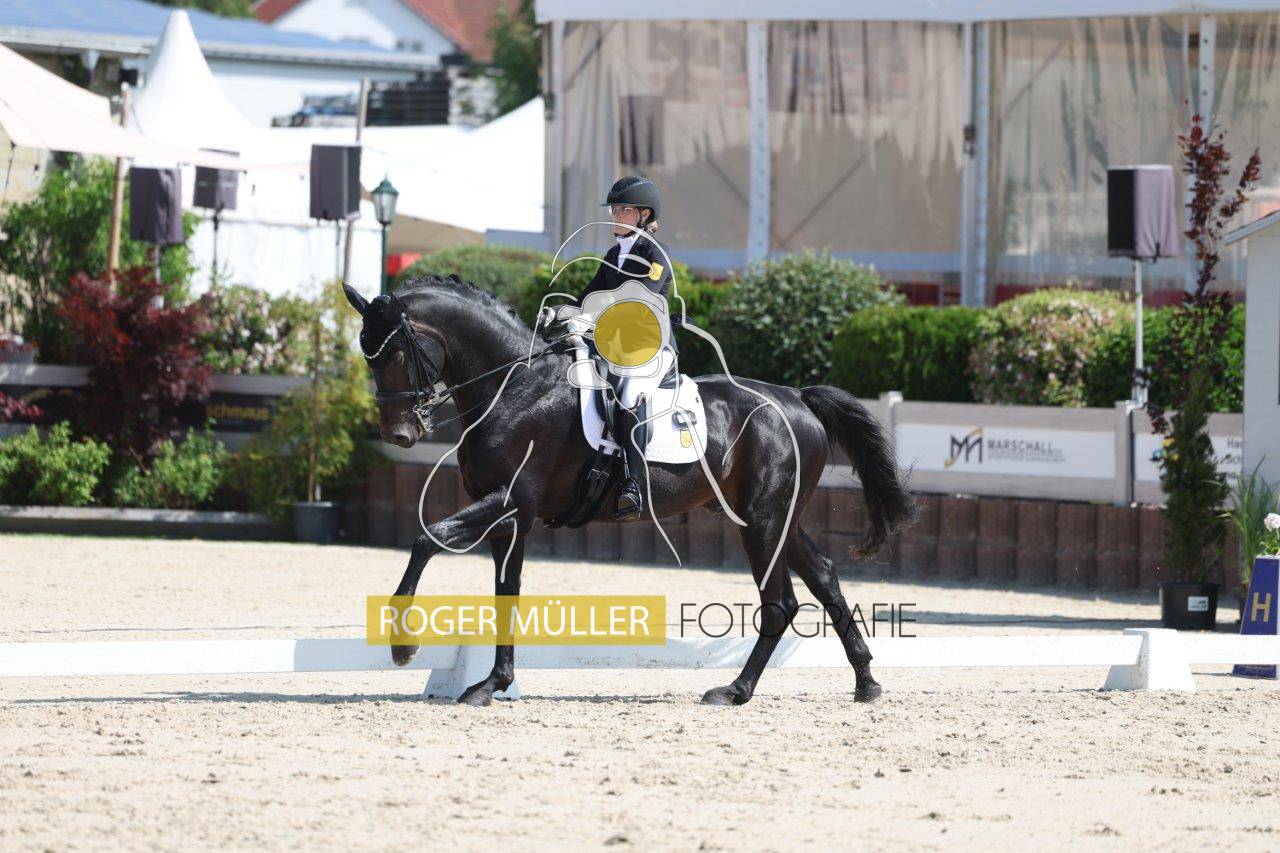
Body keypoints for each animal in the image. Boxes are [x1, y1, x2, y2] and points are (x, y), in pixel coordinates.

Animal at [342, 275, 915, 706]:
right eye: (367, 356)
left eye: (393, 354)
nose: (400, 434)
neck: (514, 387)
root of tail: (796, 397)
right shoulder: (512, 518)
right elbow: (507, 592)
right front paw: (491, 684)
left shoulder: (510, 501)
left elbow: (426, 538)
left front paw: (403, 647)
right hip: (779, 519)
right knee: (824, 579)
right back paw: (866, 683)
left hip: (762, 520)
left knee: (780, 603)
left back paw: (734, 691)